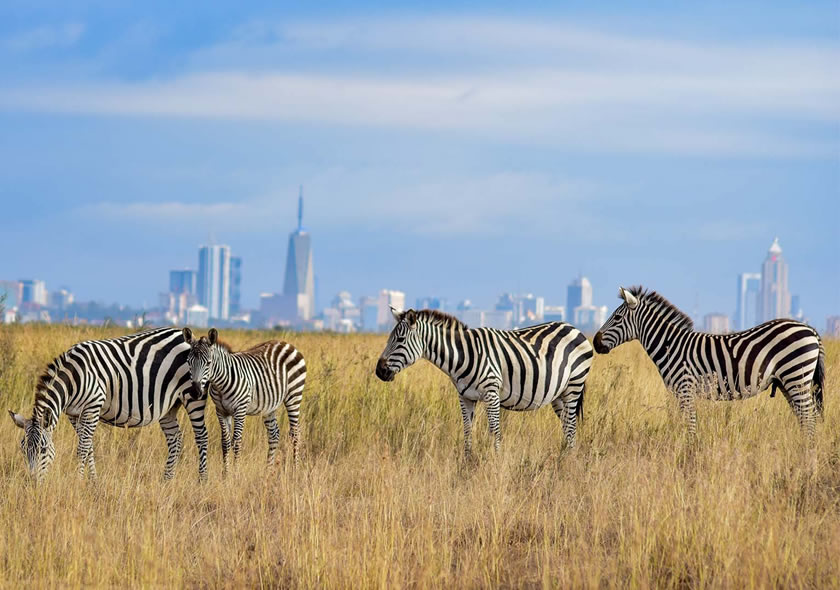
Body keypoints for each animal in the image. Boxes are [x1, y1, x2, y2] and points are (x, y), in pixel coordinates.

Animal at [9, 330, 209, 484]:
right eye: (23, 449)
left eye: (43, 450)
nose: (32, 482)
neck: (74, 378)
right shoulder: (74, 414)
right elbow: (89, 447)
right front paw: (93, 481)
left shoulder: (93, 406)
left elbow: (83, 448)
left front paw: (78, 481)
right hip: (169, 406)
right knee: (175, 438)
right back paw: (167, 480)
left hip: (193, 396)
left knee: (201, 436)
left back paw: (202, 481)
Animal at [182, 328, 306, 472]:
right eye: (188, 362)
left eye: (208, 363)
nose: (195, 392)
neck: (220, 384)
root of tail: (286, 343)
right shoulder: (221, 411)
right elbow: (225, 442)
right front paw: (226, 473)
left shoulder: (240, 410)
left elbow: (236, 442)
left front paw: (235, 473)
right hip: (269, 405)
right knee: (274, 435)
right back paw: (268, 471)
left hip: (294, 396)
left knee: (296, 433)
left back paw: (295, 469)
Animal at [378, 310, 592, 458]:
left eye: (400, 339)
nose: (379, 371)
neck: (462, 355)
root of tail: (574, 328)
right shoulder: (465, 397)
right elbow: (467, 430)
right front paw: (467, 462)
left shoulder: (491, 393)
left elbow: (494, 431)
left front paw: (496, 461)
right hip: (559, 394)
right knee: (567, 426)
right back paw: (565, 457)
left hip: (574, 385)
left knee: (571, 426)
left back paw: (568, 462)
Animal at [592, 286, 824, 444]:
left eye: (617, 317)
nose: (595, 342)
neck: (671, 345)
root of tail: (810, 329)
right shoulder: (680, 392)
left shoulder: (685, 389)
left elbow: (690, 425)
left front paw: (689, 454)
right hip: (788, 382)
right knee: (804, 418)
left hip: (796, 376)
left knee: (809, 418)